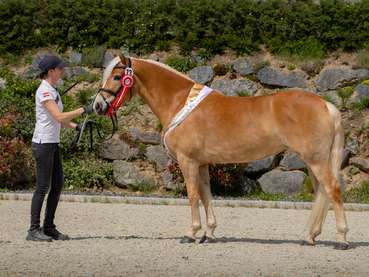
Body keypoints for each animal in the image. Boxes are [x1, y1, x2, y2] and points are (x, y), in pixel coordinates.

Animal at [92, 54, 348, 248]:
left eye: (117, 76)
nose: (97, 105)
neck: (180, 102)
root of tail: (326, 105)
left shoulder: (187, 161)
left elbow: (193, 195)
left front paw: (191, 233)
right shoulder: (202, 163)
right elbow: (206, 194)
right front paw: (209, 233)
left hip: (316, 160)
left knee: (333, 190)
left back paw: (341, 239)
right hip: (313, 161)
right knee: (322, 193)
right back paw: (311, 237)